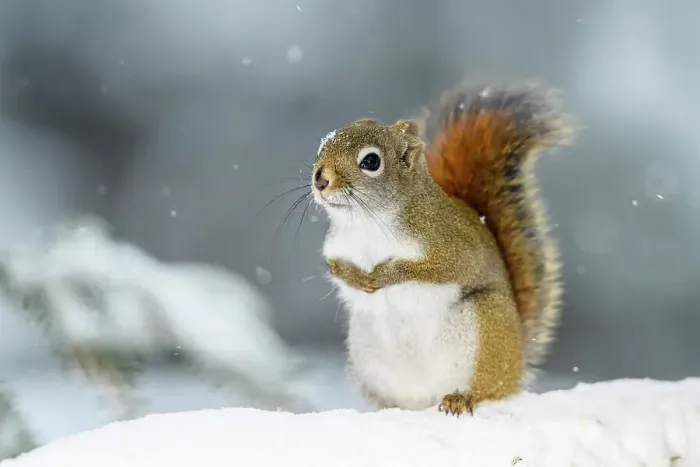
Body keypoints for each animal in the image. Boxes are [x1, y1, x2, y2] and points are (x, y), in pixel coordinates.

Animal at [311, 82, 572, 416]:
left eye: (371, 161)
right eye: (322, 146)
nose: (320, 179)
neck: (369, 221)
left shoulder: (452, 246)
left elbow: (440, 269)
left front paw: (385, 274)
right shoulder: (336, 247)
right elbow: (336, 268)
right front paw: (357, 278)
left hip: (486, 333)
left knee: (489, 389)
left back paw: (462, 398)